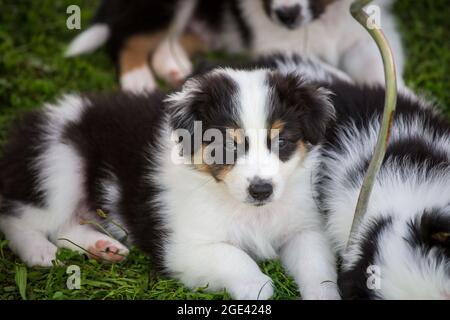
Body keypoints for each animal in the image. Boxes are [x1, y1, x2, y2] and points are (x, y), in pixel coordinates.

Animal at [0, 67, 340, 300]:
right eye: (225, 145)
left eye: (281, 141)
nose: (261, 190)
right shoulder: (182, 246)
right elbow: (233, 256)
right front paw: (257, 286)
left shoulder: (303, 228)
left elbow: (317, 265)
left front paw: (324, 294)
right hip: (59, 163)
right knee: (20, 217)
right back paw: (39, 252)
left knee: (65, 226)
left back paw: (103, 247)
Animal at [66, 0, 404, 92]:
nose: (286, 14)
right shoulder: (278, 44)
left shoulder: (363, 37)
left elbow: (382, 69)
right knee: (127, 35)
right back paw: (138, 79)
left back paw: (174, 67)